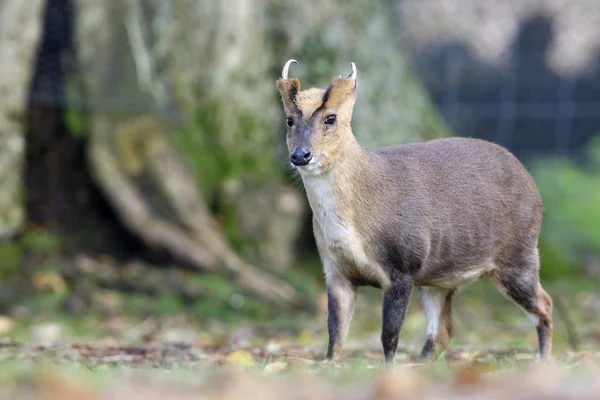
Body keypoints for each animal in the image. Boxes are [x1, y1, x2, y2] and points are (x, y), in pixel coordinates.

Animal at [276, 58, 552, 366]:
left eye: (331, 118)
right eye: (289, 120)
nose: (300, 155)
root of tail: (532, 185)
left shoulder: (403, 265)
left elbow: (389, 335)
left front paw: (389, 370)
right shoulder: (335, 270)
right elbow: (335, 334)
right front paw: (330, 366)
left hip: (518, 255)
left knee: (545, 303)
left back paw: (543, 361)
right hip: (439, 279)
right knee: (443, 329)